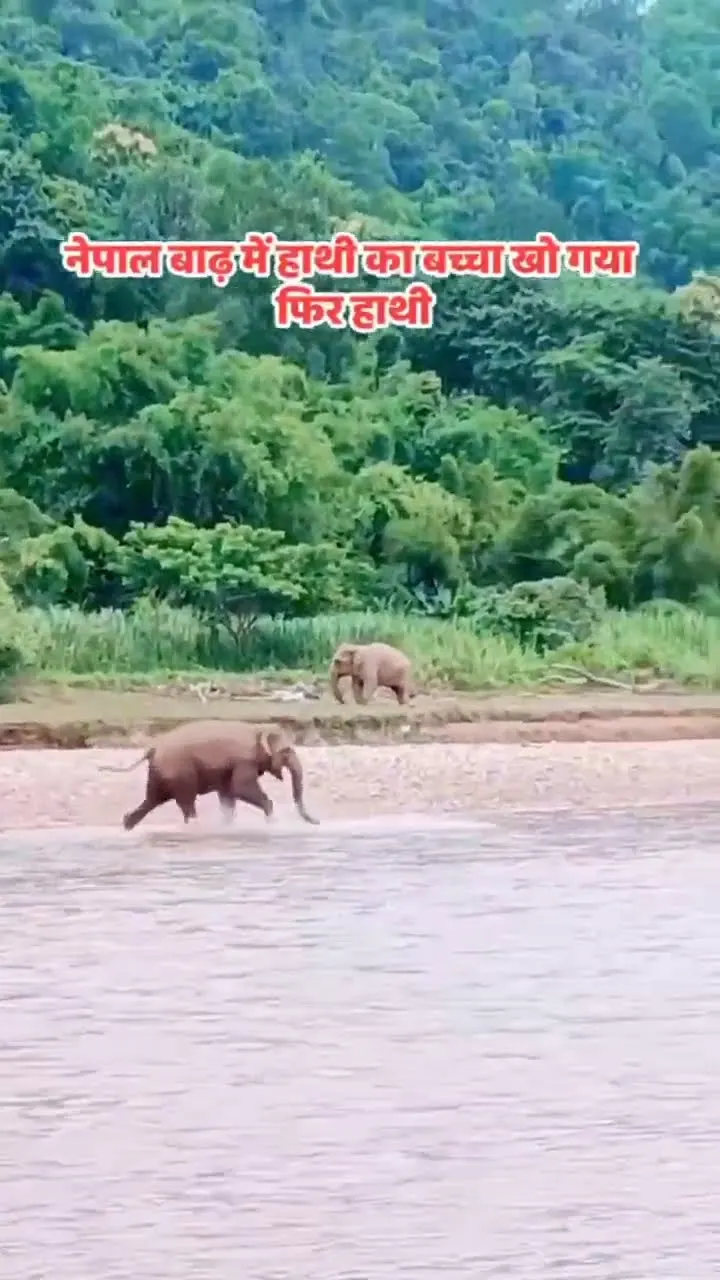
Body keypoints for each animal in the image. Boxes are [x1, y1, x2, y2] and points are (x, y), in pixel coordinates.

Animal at [103, 721, 319, 830]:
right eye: (287, 751)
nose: (317, 822)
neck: (258, 727)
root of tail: (152, 749)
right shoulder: (243, 760)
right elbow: (241, 788)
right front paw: (272, 820)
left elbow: (228, 795)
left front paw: (228, 825)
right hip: (180, 773)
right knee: (186, 802)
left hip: (160, 774)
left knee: (151, 800)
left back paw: (127, 824)